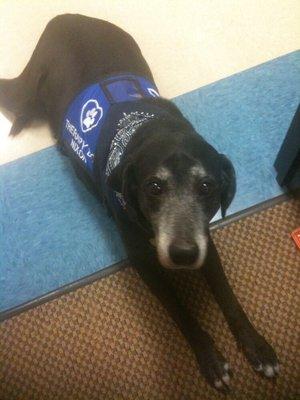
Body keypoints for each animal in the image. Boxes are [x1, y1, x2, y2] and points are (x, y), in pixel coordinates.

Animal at [0, 14, 278, 392]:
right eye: (154, 187)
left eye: (207, 186)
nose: (183, 254)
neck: (148, 128)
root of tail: (67, 16)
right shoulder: (142, 260)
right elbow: (179, 310)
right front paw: (209, 357)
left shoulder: (204, 239)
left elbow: (228, 297)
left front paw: (256, 345)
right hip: (28, 87)